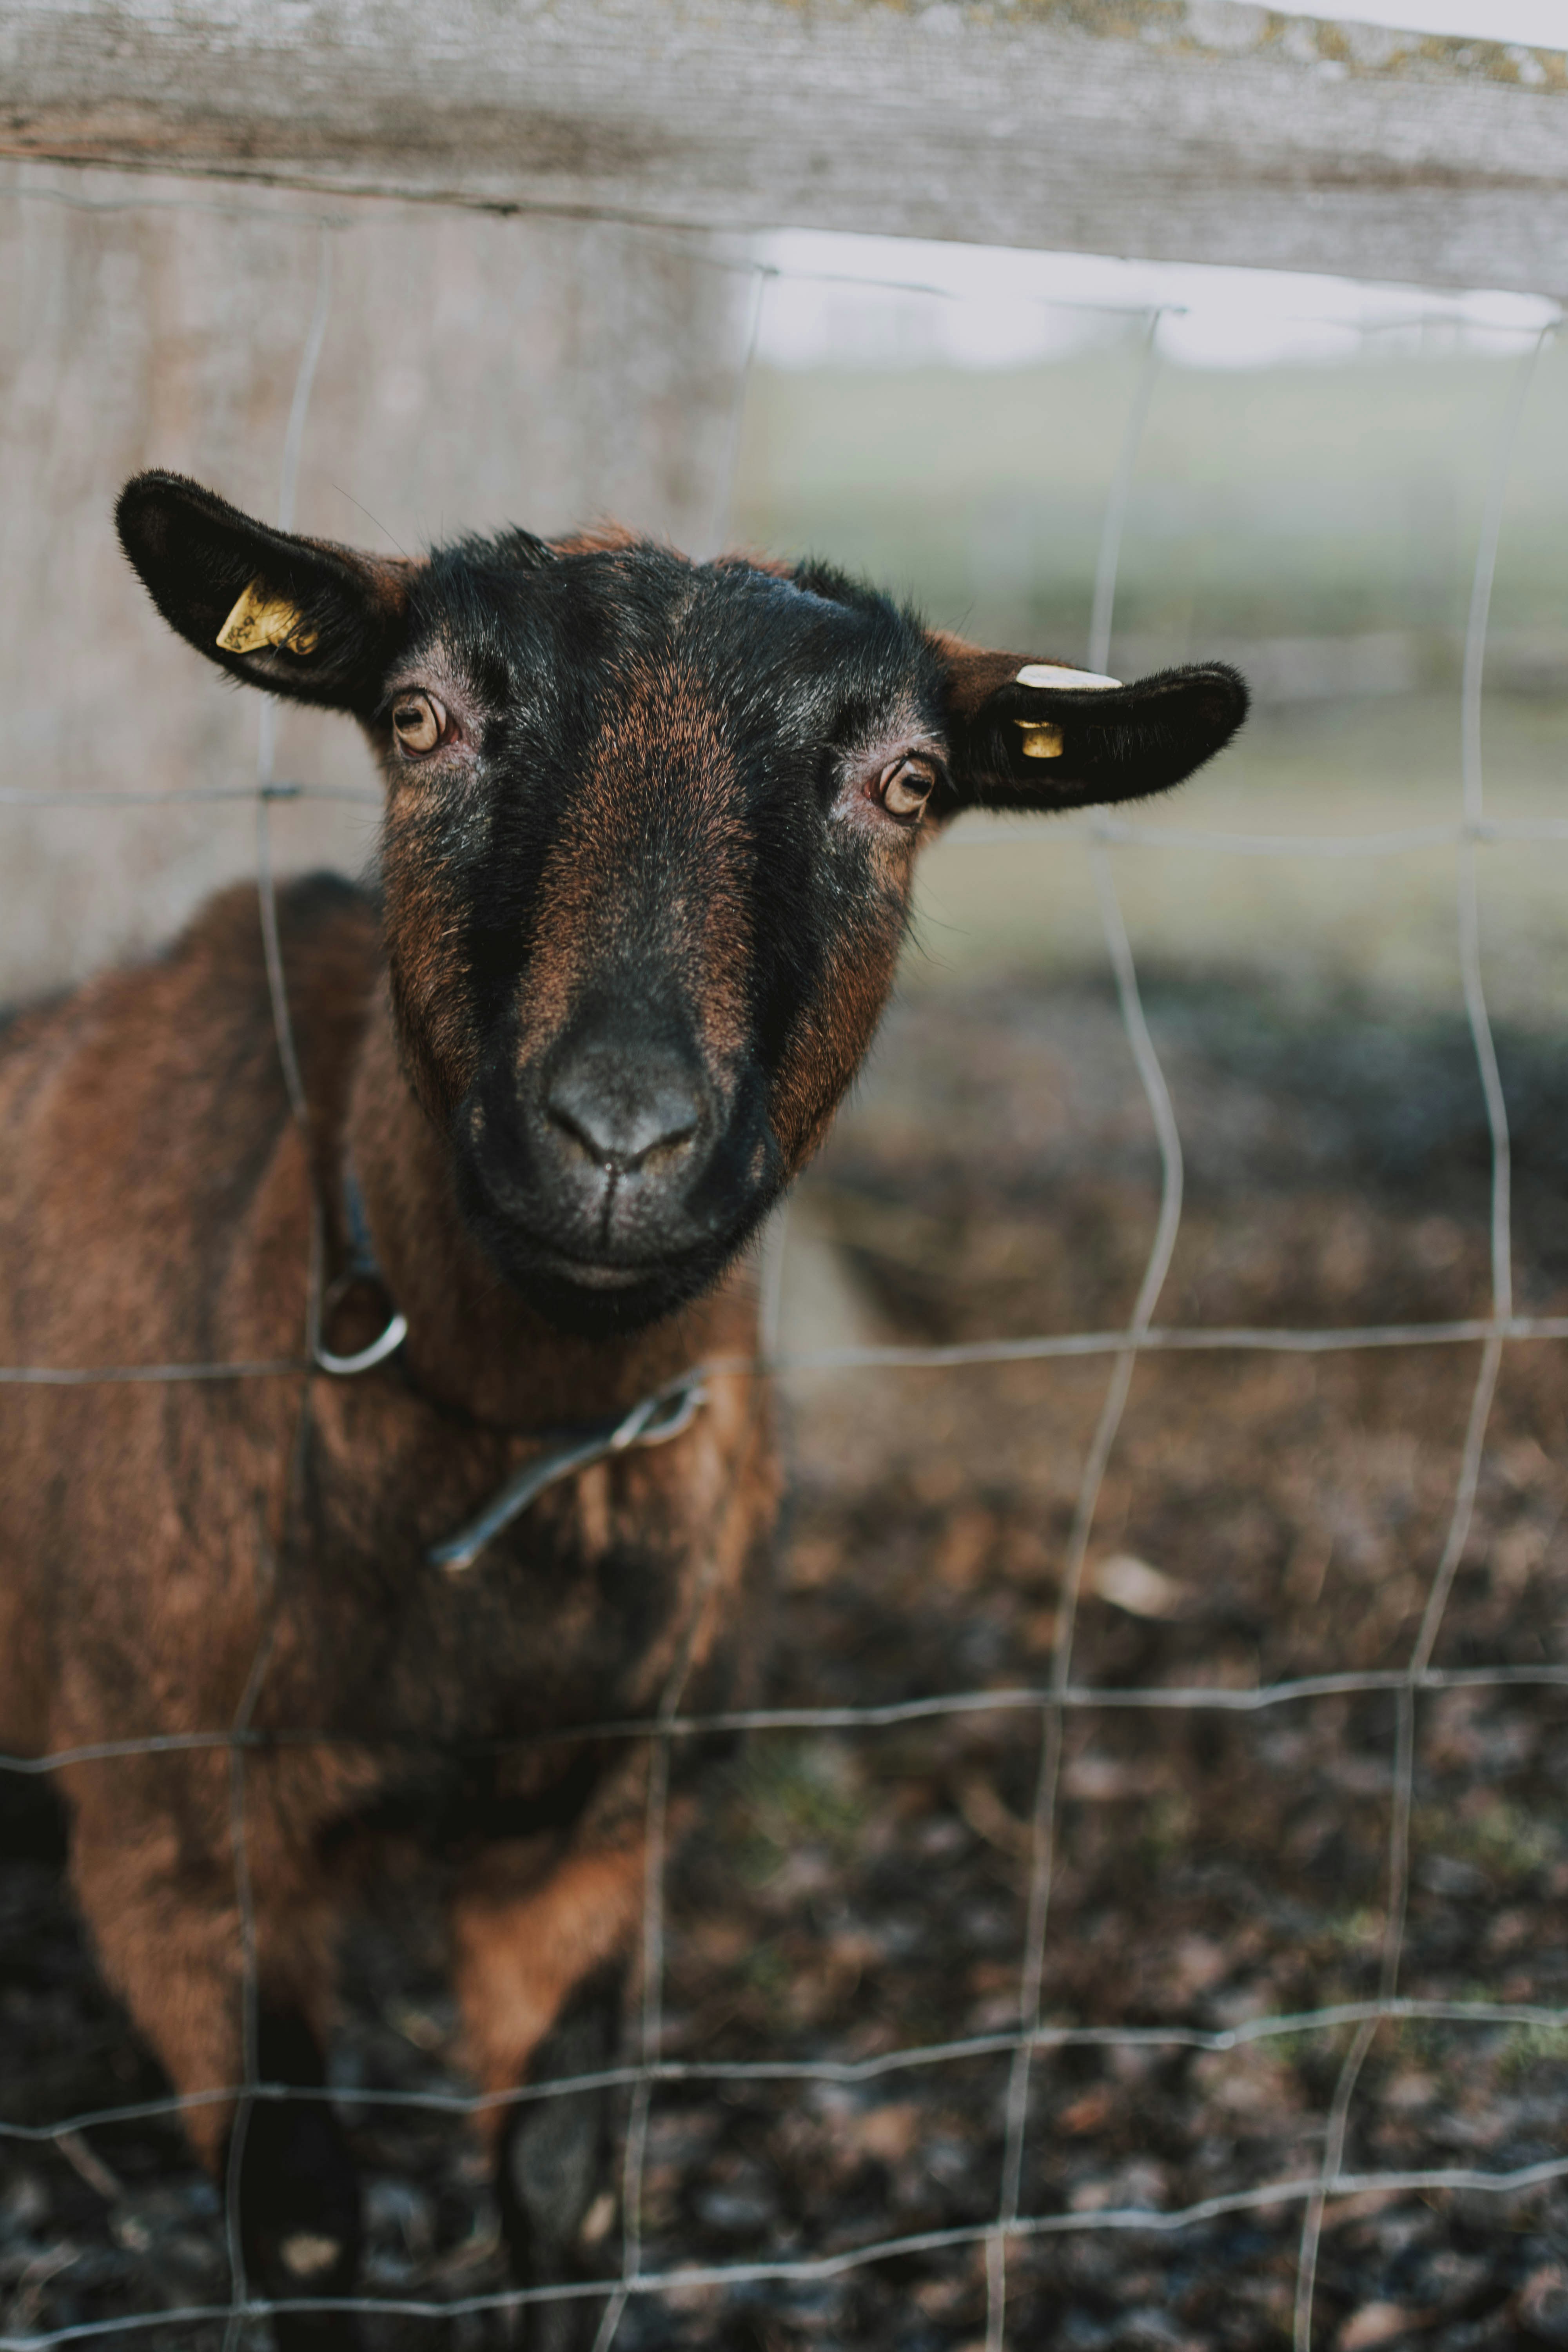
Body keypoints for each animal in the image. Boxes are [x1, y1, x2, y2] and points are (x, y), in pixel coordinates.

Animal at [0, 471, 1247, 2349]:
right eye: (416, 718)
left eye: (909, 783)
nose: (617, 1140)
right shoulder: (169, 1837)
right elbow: (304, 2227)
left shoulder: (595, 1840)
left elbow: (567, 2198)